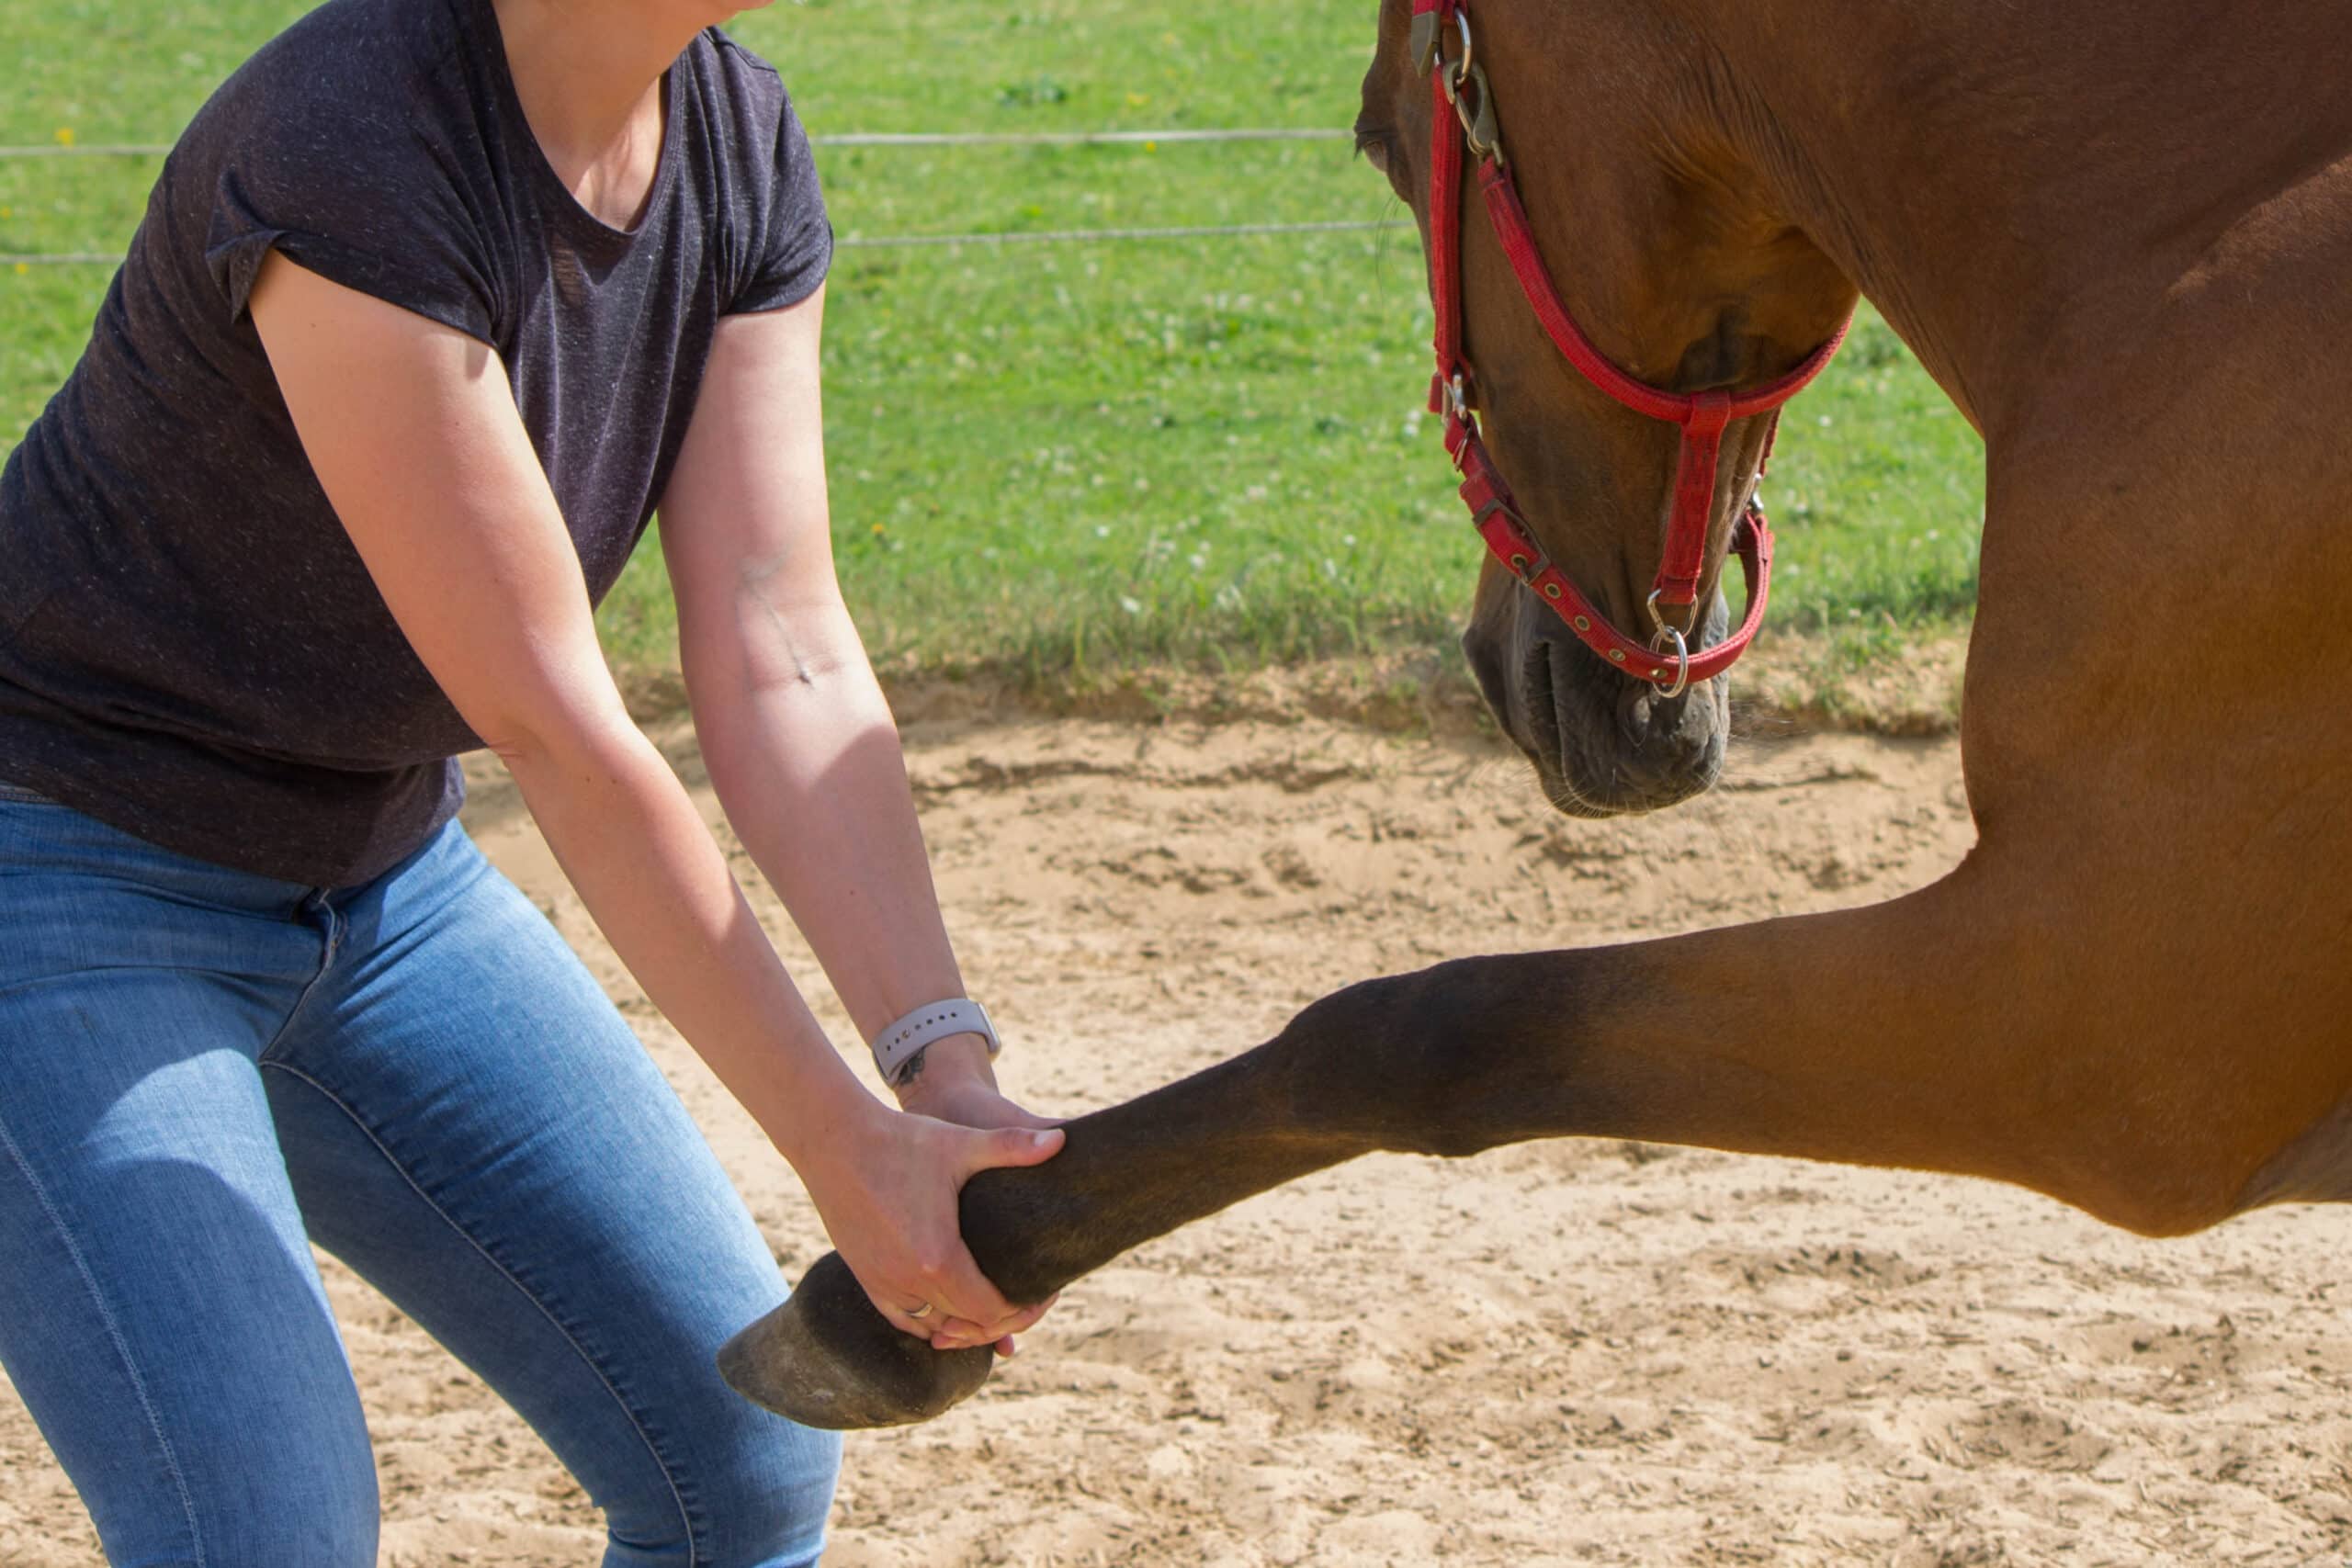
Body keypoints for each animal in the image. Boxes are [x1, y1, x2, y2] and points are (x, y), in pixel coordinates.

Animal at [715, 0, 2352, 1429]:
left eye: (1386, 141)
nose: (1502, 661)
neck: (2200, 224)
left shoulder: (2086, 1017)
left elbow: (1415, 1030)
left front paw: (914, 1277)